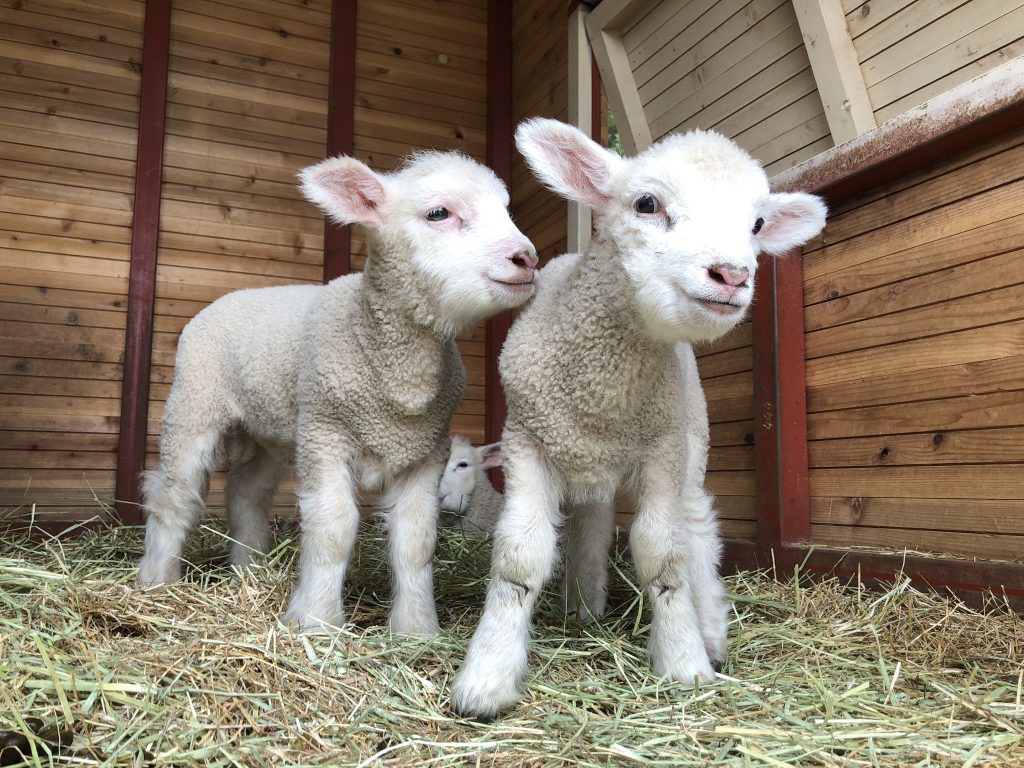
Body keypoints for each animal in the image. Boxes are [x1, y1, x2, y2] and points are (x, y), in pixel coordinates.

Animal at [140, 150, 540, 638]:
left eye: (506, 209)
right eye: (438, 213)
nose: (526, 257)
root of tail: (233, 296)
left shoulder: (424, 451)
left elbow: (415, 540)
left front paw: (416, 629)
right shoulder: (325, 434)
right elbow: (333, 529)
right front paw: (316, 620)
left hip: (273, 430)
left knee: (246, 492)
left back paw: (249, 570)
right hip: (195, 404)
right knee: (172, 493)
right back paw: (157, 579)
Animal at [452, 117, 827, 720]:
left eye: (756, 224)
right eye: (646, 203)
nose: (732, 275)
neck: (605, 390)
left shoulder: (664, 448)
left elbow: (662, 554)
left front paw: (684, 660)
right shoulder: (525, 442)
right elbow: (519, 555)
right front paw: (486, 676)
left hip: (693, 443)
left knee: (696, 531)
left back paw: (710, 629)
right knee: (592, 525)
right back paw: (584, 609)